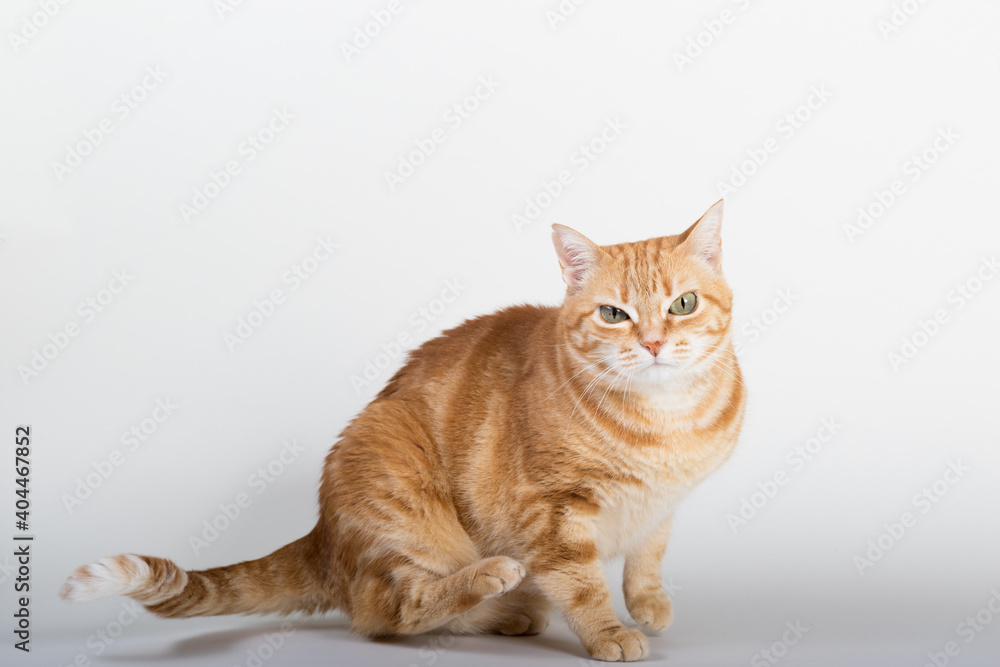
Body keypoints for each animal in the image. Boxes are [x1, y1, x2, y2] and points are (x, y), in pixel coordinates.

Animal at [62, 202, 744, 664]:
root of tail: (323, 536)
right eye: (613, 314)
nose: (652, 343)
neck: (664, 425)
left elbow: (648, 557)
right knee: (391, 611)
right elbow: (582, 585)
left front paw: (650, 605)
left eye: (683, 304)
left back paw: (510, 611)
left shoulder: (662, 506)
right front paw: (610, 633)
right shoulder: (552, 515)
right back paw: (490, 583)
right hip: (393, 472)